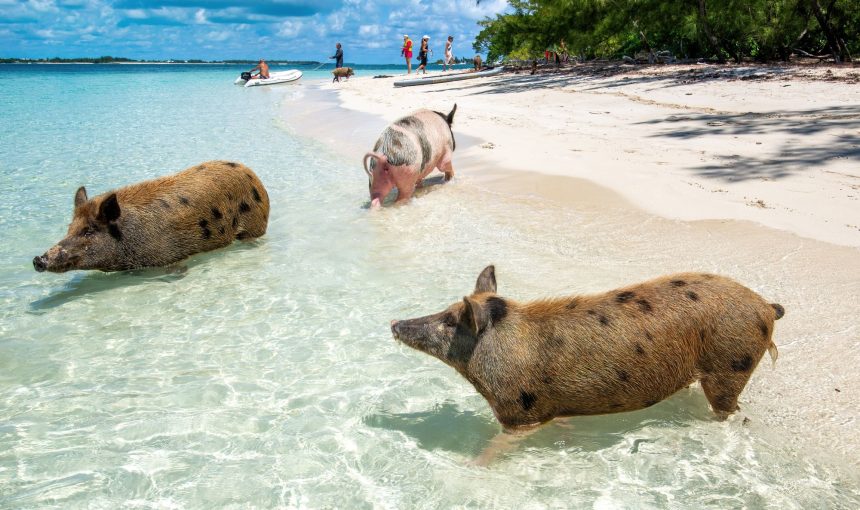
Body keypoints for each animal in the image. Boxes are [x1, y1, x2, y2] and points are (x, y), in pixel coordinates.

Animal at [33, 160, 268, 272]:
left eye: (89, 231)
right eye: (69, 228)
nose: (37, 259)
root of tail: (254, 177)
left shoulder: (168, 258)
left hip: (253, 226)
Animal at [394, 266, 784, 430]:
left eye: (449, 321)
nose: (394, 323)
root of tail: (766, 307)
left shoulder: (520, 411)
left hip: (733, 363)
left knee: (728, 406)